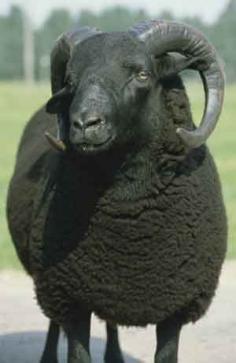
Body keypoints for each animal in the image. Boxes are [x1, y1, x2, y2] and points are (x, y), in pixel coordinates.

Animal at [7, 20, 227, 363]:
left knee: (110, 321)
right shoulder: (69, 297)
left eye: (142, 74)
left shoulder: (175, 307)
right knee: (54, 321)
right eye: (70, 80)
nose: (84, 124)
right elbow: (76, 349)